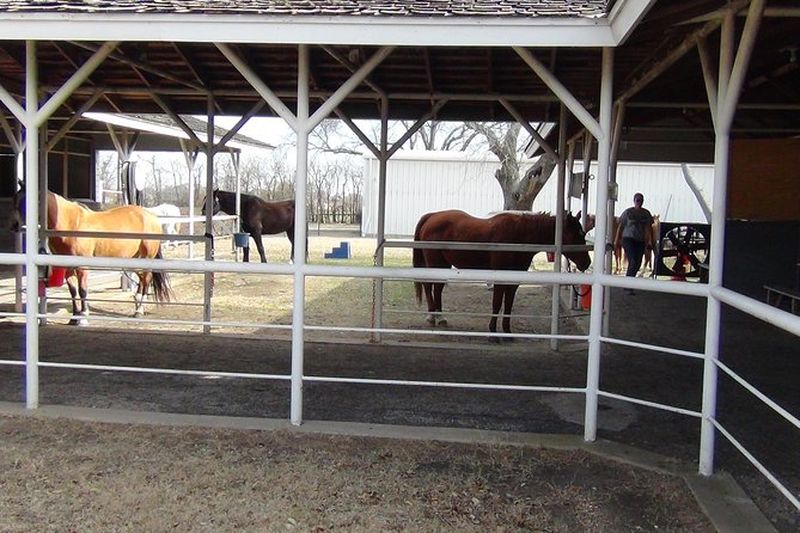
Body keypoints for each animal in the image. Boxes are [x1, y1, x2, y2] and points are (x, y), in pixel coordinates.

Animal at [13, 186, 172, 325]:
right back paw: (138, 307)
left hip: (146, 258)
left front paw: (83, 317)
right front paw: (74, 318)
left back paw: (139, 310)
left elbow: (83, 290)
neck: (71, 224)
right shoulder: (67, 267)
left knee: (147, 279)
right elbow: (73, 291)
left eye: (29, 201)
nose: (15, 225)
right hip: (133, 260)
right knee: (142, 280)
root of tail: (151, 216)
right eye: (16, 199)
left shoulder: (82, 267)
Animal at [412, 210, 591, 339]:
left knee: (437, 289)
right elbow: (497, 303)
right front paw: (493, 332)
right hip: (436, 263)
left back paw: (439, 318)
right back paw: (433, 317)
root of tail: (432, 216)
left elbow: (508, 304)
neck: (518, 237)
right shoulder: (499, 277)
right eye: (577, 235)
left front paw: (507, 331)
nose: (587, 263)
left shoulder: (514, 280)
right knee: (430, 286)